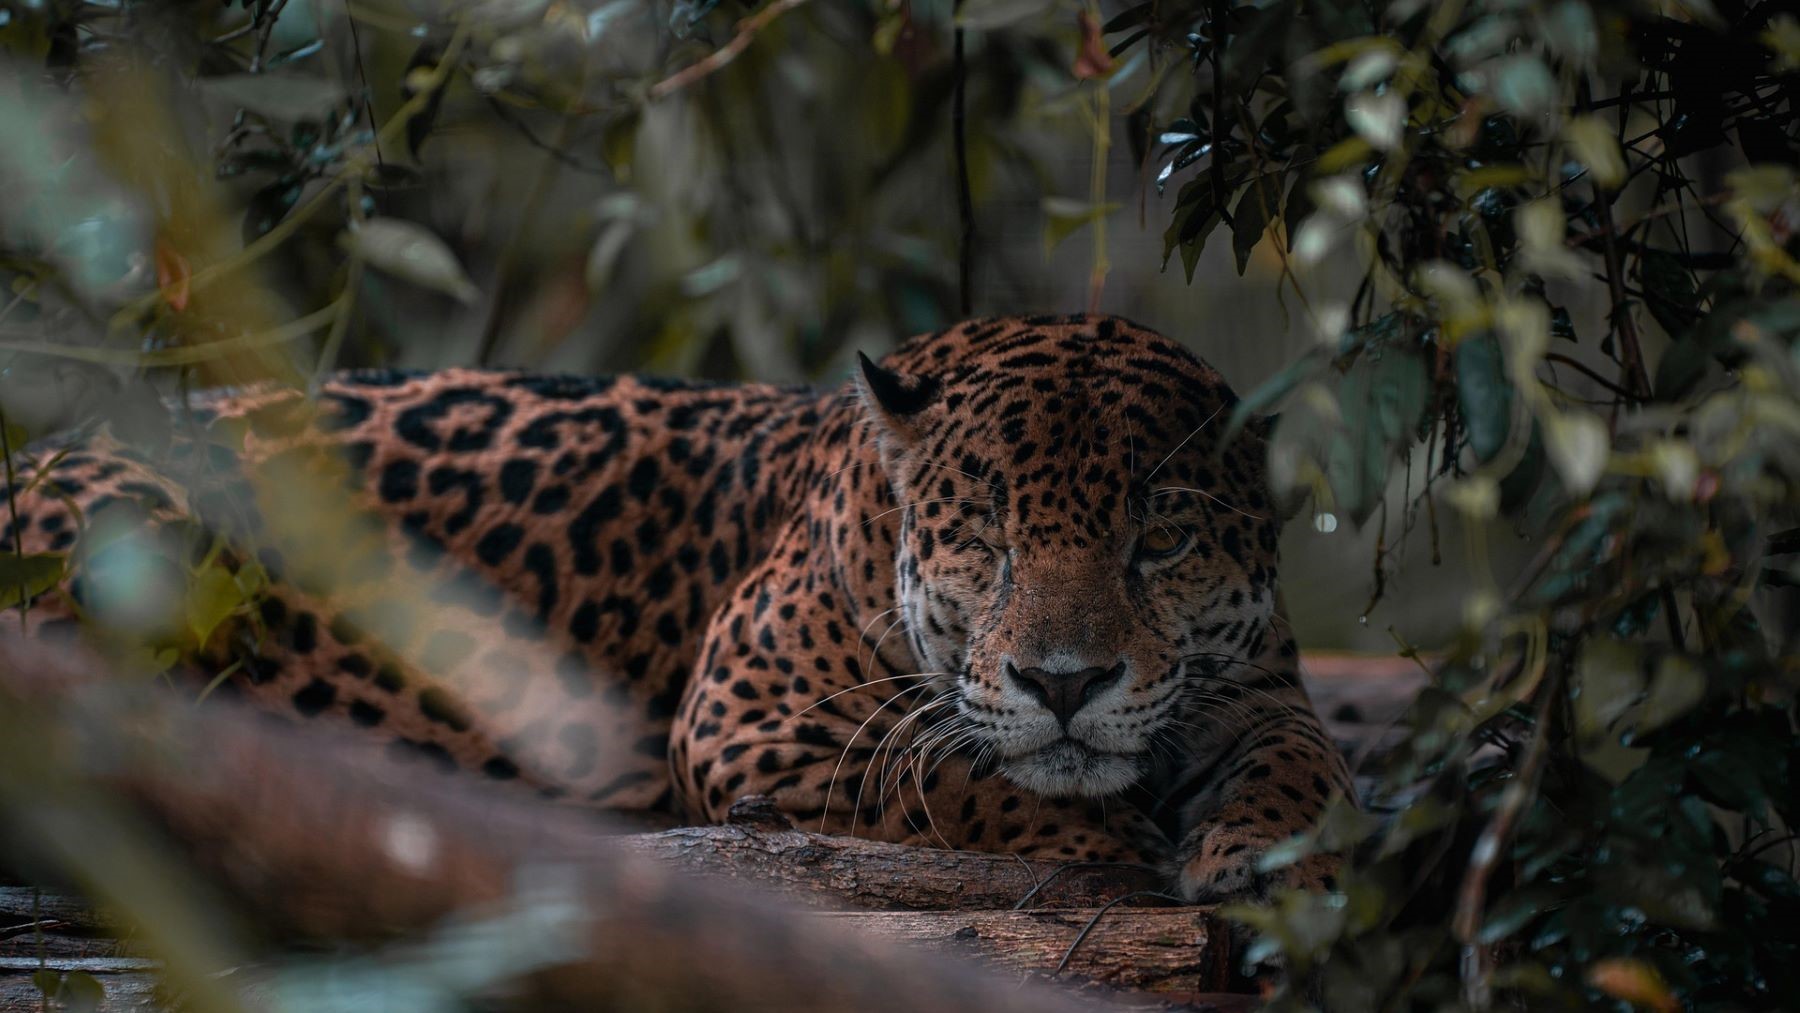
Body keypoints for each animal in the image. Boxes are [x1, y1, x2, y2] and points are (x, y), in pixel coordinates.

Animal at [3, 313, 1351, 903]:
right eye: (986, 537)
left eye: (1159, 541)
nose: (1064, 683)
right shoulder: (746, 719)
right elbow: (949, 774)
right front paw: (1104, 832)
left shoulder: (1254, 680)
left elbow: (1310, 759)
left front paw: (1258, 843)